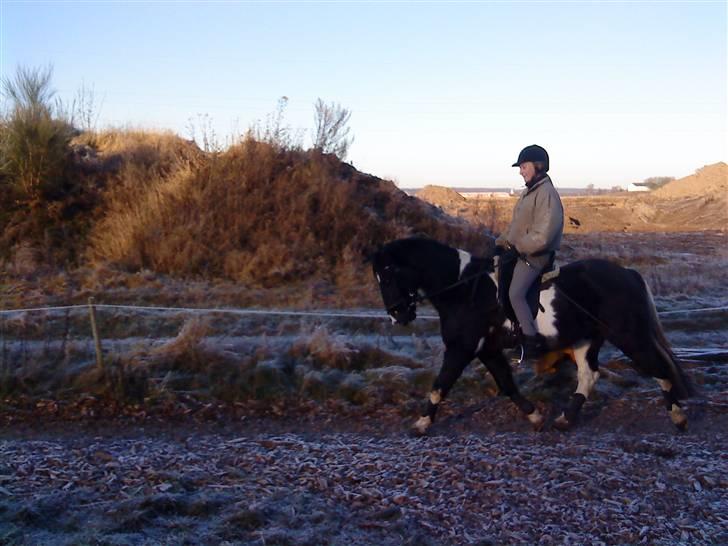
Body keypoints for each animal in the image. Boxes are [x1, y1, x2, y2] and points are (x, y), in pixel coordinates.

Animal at [370, 236, 692, 432]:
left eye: (388, 274)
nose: (398, 316)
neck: (463, 288)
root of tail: (627, 274)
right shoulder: (487, 349)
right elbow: (507, 384)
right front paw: (534, 416)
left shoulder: (462, 348)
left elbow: (440, 386)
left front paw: (422, 424)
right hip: (585, 340)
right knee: (589, 376)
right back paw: (564, 420)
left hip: (628, 336)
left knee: (659, 369)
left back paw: (678, 416)